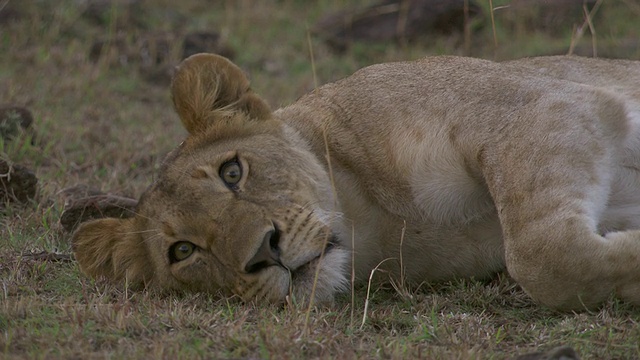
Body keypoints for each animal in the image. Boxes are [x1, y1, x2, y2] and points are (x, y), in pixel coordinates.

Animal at [71, 52, 640, 310]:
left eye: (233, 172)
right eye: (183, 251)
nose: (263, 252)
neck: (382, 222)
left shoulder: (540, 106)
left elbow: (540, 256)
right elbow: (544, 261)